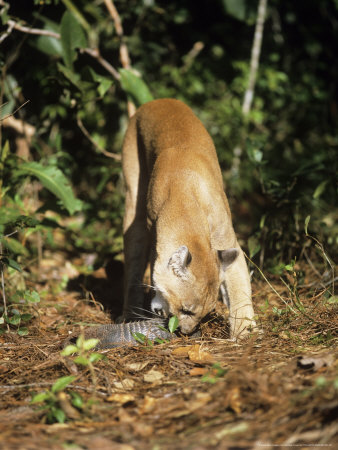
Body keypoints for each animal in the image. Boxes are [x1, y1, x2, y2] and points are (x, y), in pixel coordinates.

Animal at [123, 98, 255, 338]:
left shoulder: (228, 240)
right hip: (133, 207)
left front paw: (245, 330)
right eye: (186, 309)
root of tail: (155, 101)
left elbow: (239, 286)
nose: (185, 331)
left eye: (205, 313)